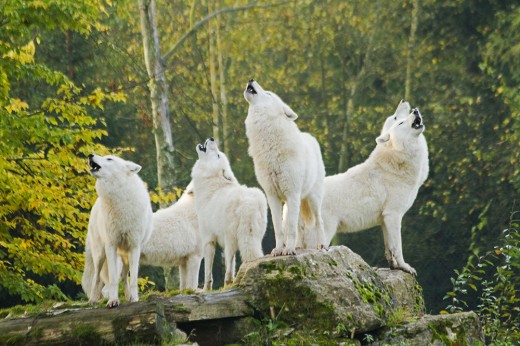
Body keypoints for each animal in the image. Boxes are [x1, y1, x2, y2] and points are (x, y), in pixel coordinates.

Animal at [84, 155, 152, 306]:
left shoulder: (134, 247)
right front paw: (113, 301)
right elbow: (113, 279)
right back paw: (93, 300)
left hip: (125, 256)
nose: (90, 155)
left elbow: (133, 279)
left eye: (109, 159)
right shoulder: (111, 246)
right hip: (101, 255)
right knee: (97, 277)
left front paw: (134, 298)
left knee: (124, 277)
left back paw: (128, 297)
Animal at [190, 137, 266, 290]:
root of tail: (249, 203)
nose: (212, 138)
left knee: (229, 267)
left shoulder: (208, 240)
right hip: (252, 237)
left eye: (218, 155)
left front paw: (206, 290)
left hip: (230, 239)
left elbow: (208, 272)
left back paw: (228, 284)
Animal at [244, 79, 324, 255]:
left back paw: (321, 245)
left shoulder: (291, 193)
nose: (251, 79)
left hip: (312, 199)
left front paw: (289, 250)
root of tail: (311, 137)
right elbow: (279, 228)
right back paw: (298, 246)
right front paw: (279, 249)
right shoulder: (272, 196)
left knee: (318, 221)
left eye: (268, 93)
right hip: (294, 201)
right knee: (299, 225)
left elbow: (290, 228)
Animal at [318, 104, 428, 274]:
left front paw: (394, 266)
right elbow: (398, 247)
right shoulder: (394, 215)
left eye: (406, 117)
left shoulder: (384, 220)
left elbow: (389, 249)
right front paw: (405, 267)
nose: (415, 110)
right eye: (400, 122)